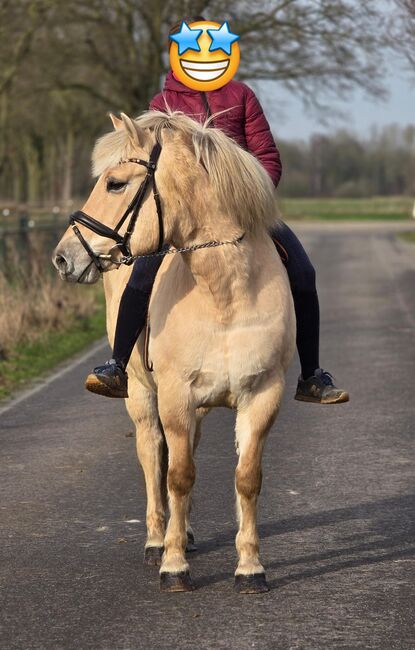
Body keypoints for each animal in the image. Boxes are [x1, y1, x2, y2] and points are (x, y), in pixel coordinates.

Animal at [53, 110, 296, 594]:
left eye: (115, 184)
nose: (63, 258)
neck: (224, 291)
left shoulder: (262, 396)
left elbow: (247, 479)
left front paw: (250, 568)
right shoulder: (175, 397)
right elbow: (178, 477)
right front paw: (174, 566)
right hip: (143, 396)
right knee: (152, 456)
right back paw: (156, 540)